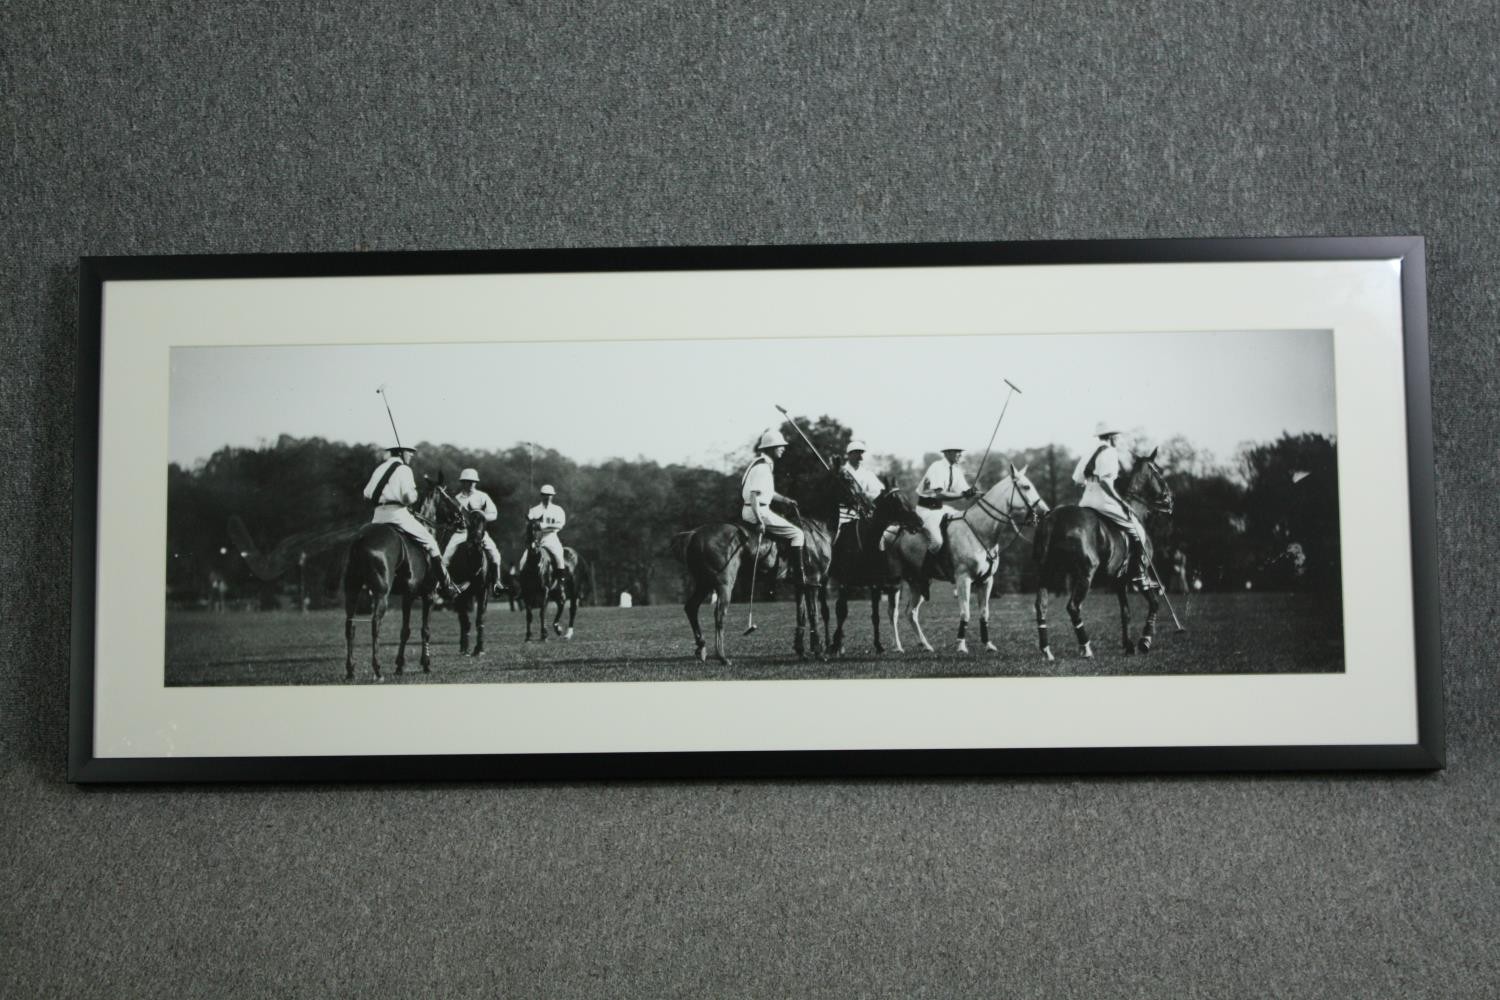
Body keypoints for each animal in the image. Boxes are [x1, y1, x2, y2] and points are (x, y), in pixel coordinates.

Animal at [342, 476, 462, 680]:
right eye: (447, 495)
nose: (461, 518)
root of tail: (361, 539)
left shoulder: (408, 595)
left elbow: (407, 630)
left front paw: (401, 665)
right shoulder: (425, 595)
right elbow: (421, 630)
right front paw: (422, 663)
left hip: (353, 590)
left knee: (350, 625)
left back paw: (351, 670)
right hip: (381, 593)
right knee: (375, 623)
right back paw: (377, 668)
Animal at [447, 509, 501, 656]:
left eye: (485, 522)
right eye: (470, 522)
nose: (476, 542)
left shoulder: (483, 591)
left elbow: (480, 619)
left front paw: (479, 648)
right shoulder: (461, 595)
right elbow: (465, 621)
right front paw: (465, 647)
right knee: (462, 619)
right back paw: (462, 646)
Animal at [828, 485, 930, 656]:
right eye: (897, 503)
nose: (919, 522)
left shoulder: (875, 585)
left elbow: (875, 616)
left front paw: (878, 645)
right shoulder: (844, 583)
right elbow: (842, 611)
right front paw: (836, 645)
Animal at [882, 470, 1050, 656]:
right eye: (1026, 486)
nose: (1046, 512)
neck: (980, 531)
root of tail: (891, 530)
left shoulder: (986, 580)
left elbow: (984, 613)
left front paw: (988, 644)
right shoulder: (964, 578)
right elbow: (965, 612)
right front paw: (961, 646)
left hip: (918, 581)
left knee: (910, 612)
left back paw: (926, 645)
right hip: (895, 581)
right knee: (893, 612)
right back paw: (898, 646)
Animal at [1038, 449, 1176, 659]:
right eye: (1158, 471)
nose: (1170, 500)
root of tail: (1053, 519)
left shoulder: (1119, 580)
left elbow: (1125, 612)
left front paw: (1128, 645)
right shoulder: (1140, 574)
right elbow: (1154, 604)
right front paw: (1144, 642)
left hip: (1046, 571)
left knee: (1041, 606)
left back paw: (1047, 651)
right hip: (1085, 573)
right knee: (1073, 607)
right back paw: (1086, 648)